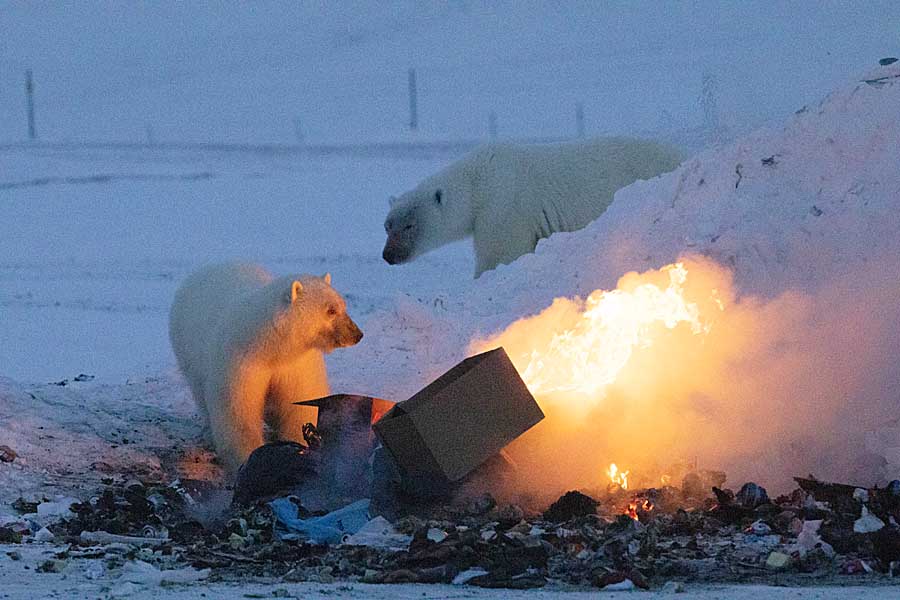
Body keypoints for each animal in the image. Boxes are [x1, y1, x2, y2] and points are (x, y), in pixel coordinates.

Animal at [169, 262, 362, 474]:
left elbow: (299, 405)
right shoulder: (241, 363)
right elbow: (239, 412)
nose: (357, 334)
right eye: (330, 310)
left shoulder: (296, 365)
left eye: (343, 306)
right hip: (187, 350)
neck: (270, 347)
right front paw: (246, 458)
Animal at [380, 137, 684, 278]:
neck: (478, 181)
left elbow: (499, 255)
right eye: (387, 226)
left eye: (409, 225)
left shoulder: (503, 209)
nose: (388, 256)